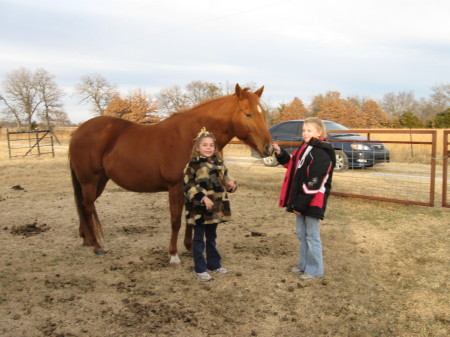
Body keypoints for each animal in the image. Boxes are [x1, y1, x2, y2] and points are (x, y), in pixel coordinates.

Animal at [69, 83, 272, 262]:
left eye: (263, 114)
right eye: (248, 114)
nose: (270, 148)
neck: (191, 137)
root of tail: (78, 132)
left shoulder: (192, 189)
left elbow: (191, 220)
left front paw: (190, 249)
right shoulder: (175, 188)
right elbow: (176, 221)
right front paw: (173, 254)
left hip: (99, 181)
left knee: (84, 205)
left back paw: (87, 240)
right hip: (90, 181)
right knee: (88, 207)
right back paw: (97, 246)